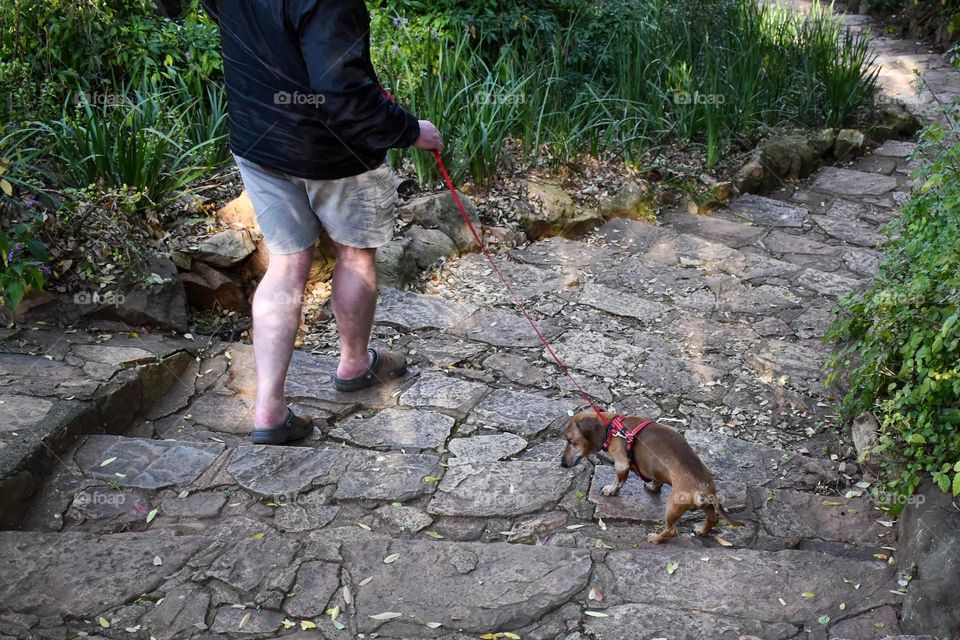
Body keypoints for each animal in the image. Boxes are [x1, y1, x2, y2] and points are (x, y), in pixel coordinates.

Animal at [556, 412, 744, 544]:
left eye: (570, 440)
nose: (562, 464)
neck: (613, 427)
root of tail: (703, 488)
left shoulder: (621, 464)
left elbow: (619, 480)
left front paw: (610, 490)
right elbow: (657, 480)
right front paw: (653, 487)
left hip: (673, 506)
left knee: (671, 531)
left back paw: (655, 538)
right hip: (705, 506)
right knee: (713, 519)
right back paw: (702, 530)